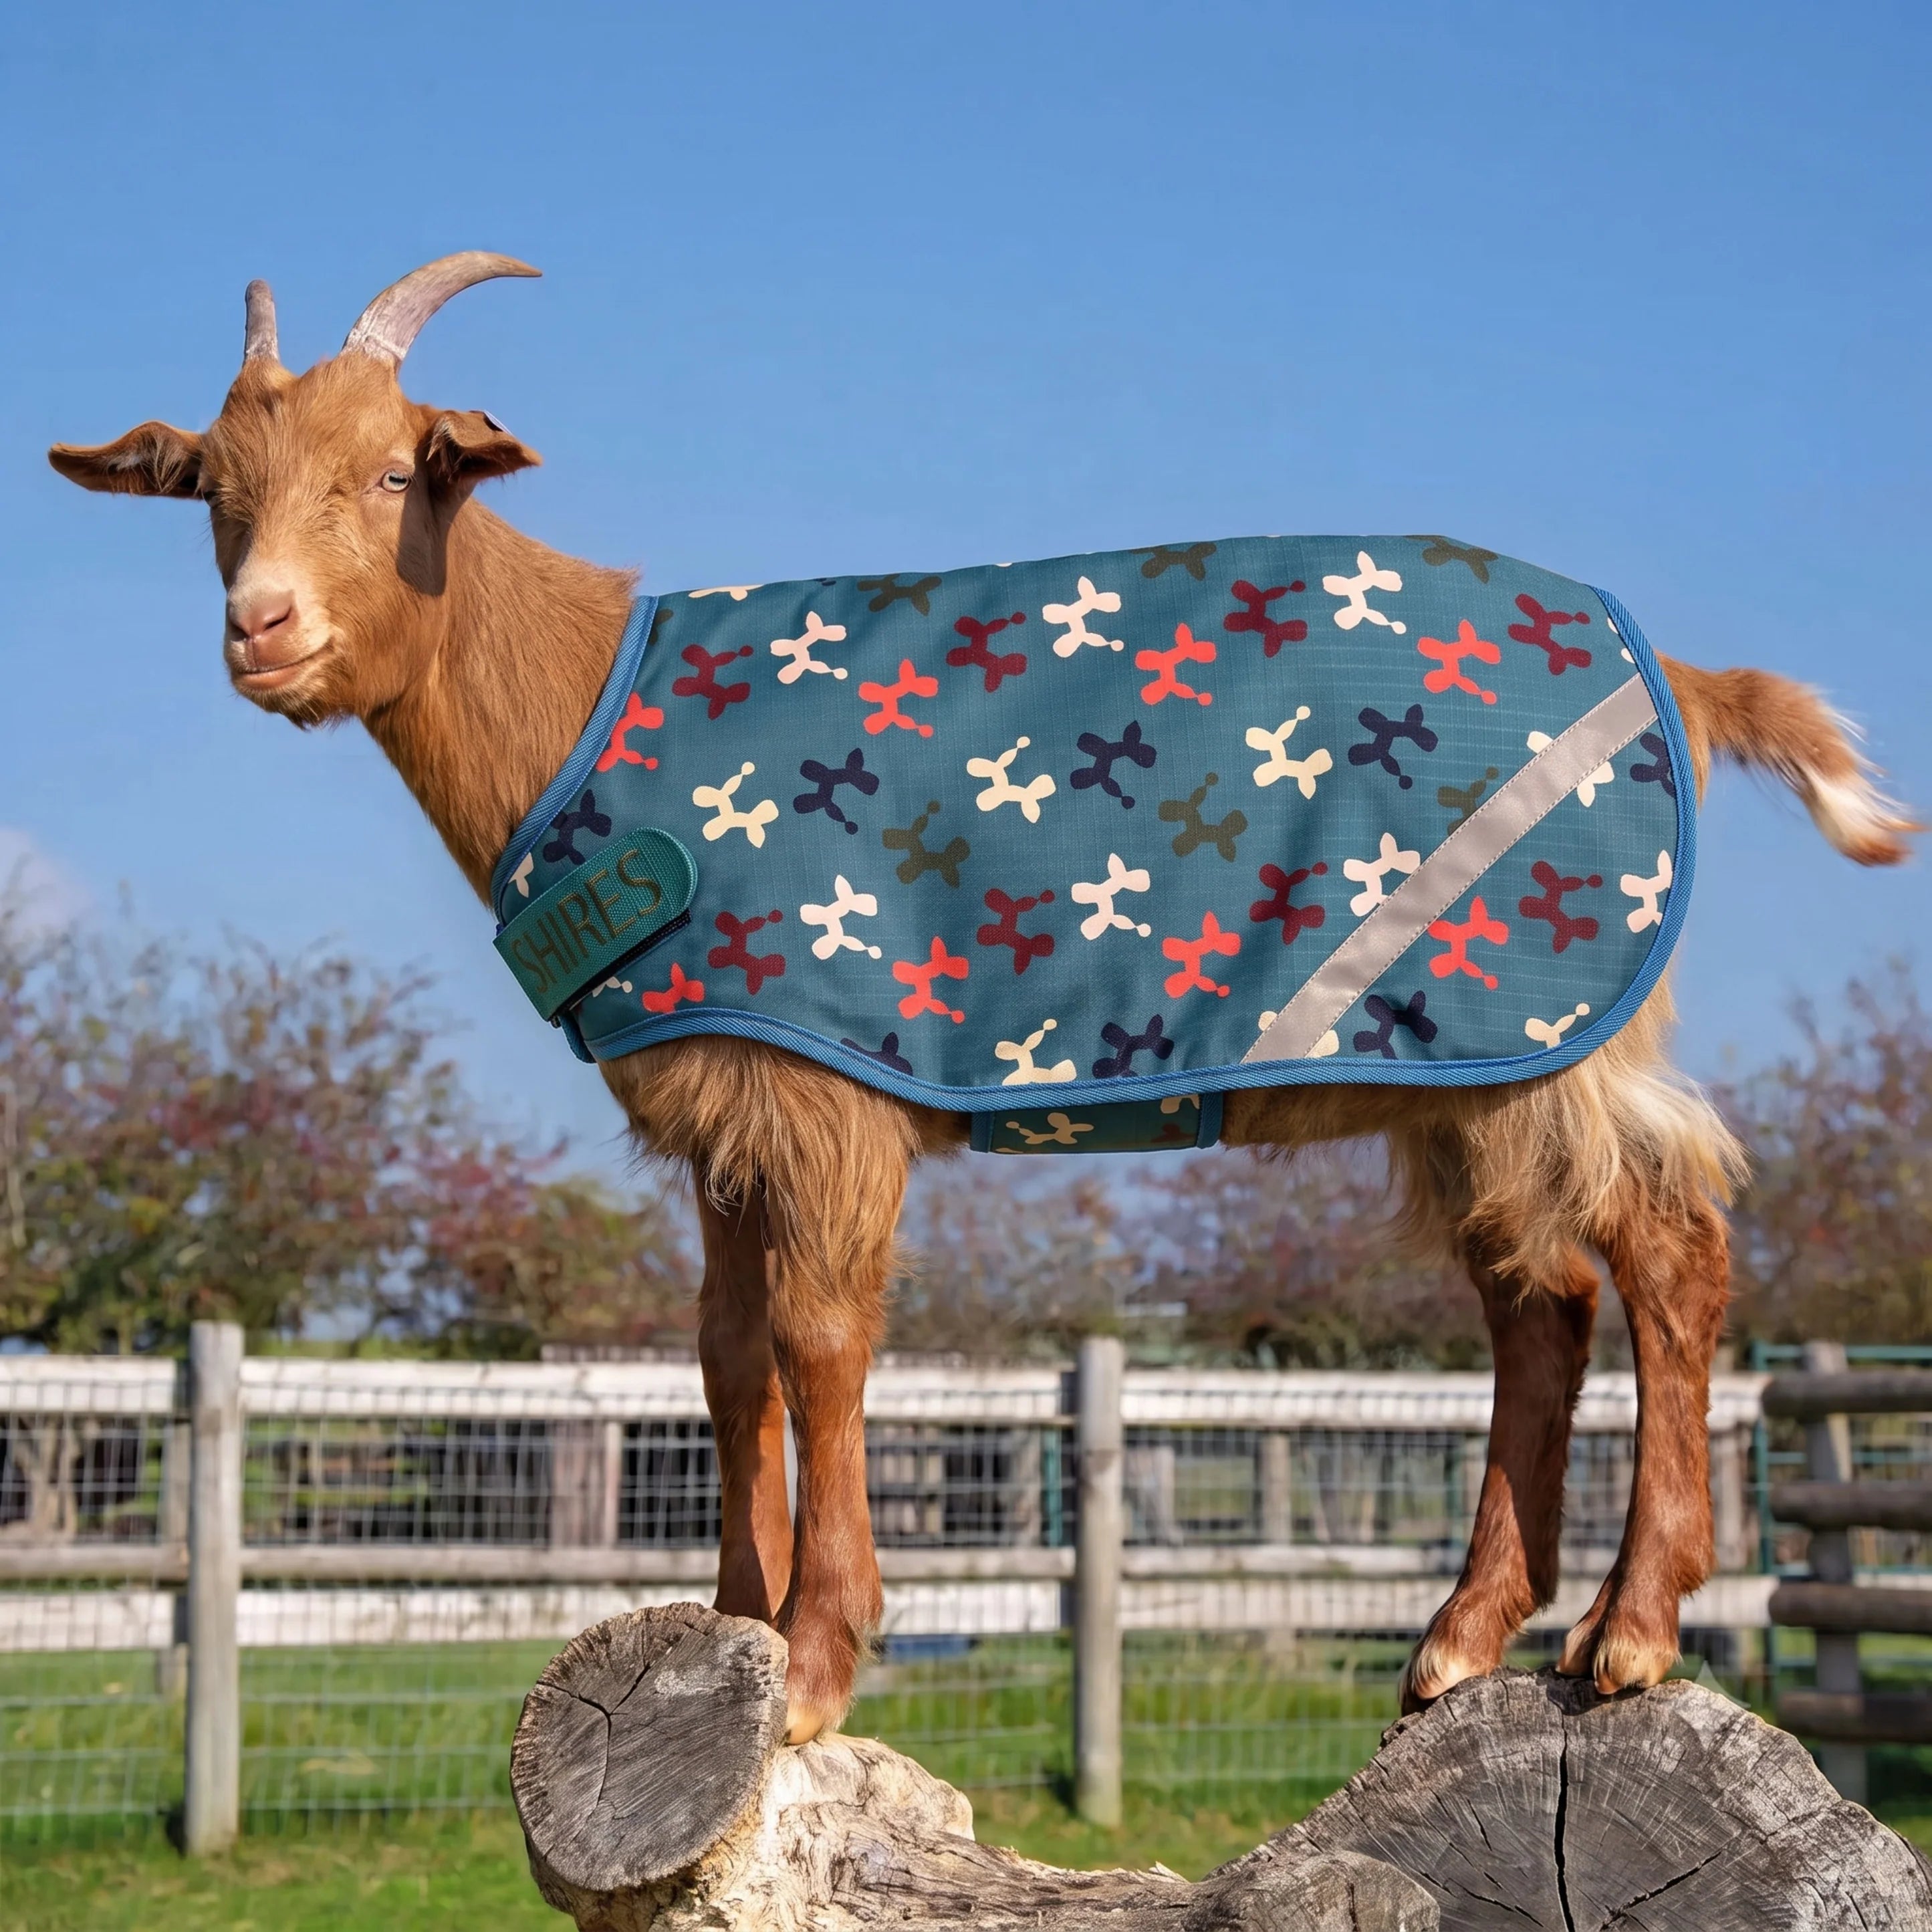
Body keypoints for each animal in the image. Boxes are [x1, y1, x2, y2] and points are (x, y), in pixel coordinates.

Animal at [50, 255, 1919, 1743]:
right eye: (213, 492)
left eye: (392, 471)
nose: (258, 627)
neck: (585, 700)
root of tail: (1680, 678)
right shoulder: (721, 1087)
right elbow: (721, 1352)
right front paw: (731, 1620)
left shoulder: (824, 1083)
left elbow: (818, 1340)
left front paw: (818, 1655)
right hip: (1459, 1058)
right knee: (1539, 1297)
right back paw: (1459, 1643)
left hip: (1542, 1020)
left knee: (1668, 1236)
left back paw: (1627, 1633)